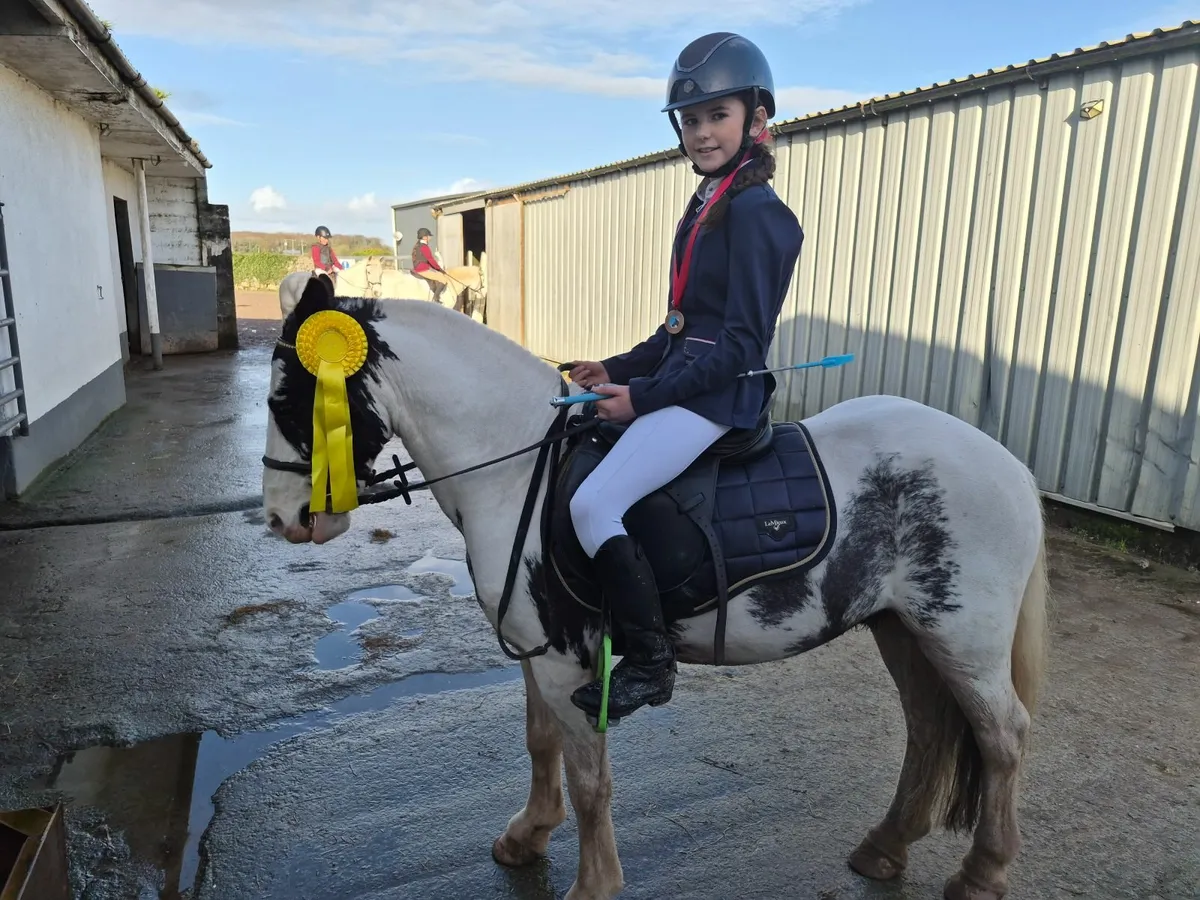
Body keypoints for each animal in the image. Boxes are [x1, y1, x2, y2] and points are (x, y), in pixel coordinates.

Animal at [260, 278, 1049, 900]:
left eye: (293, 402)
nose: (282, 519)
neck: (514, 468)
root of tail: (1009, 464)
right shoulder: (540, 652)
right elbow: (541, 743)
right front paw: (525, 837)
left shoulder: (565, 662)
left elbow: (589, 779)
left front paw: (592, 885)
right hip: (902, 629)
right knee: (929, 731)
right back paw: (885, 848)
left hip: (962, 637)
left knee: (1002, 736)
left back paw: (982, 874)